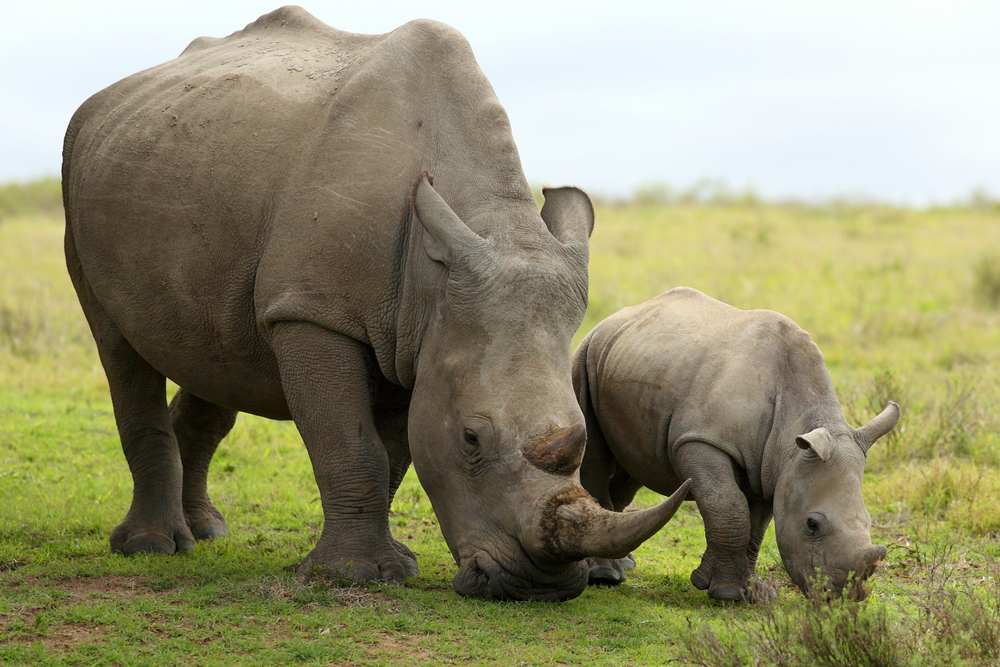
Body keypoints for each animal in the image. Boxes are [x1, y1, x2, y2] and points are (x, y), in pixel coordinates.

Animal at [60, 6, 689, 602]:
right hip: (83, 180)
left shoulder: (415, 337)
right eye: (471, 439)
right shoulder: (314, 312)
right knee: (118, 346)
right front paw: (352, 575)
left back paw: (207, 532)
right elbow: (352, 443)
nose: (540, 588)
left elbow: (392, 451)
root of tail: (105, 99)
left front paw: (392, 567)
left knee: (217, 354)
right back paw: (151, 548)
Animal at [574, 287, 899, 601]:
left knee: (634, 467)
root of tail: (615, 317)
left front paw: (755, 594)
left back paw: (623, 562)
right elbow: (729, 507)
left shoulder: (772, 468)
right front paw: (726, 593)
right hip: (585, 357)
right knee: (596, 456)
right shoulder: (704, 440)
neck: (796, 427)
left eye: (870, 522)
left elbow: (755, 528)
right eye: (812, 524)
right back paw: (605, 575)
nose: (845, 597)